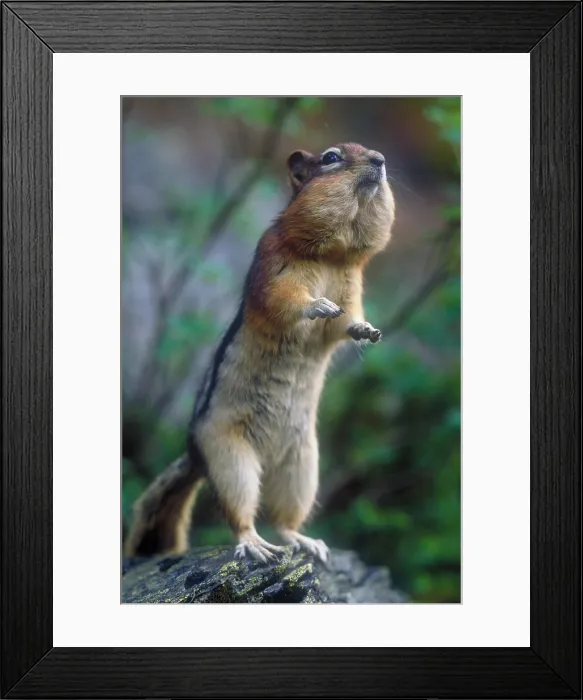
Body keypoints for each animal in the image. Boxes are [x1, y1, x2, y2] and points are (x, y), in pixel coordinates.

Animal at [125, 142, 395, 564]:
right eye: (332, 158)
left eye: (371, 151)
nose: (381, 160)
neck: (333, 254)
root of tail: (195, 455)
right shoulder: (274, 268)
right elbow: (286, 301)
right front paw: (317, 305)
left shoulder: (353, 288)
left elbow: (344, 322)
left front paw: (367, 331)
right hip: (231, 459)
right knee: (241, 513)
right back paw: (254, 545)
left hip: (301, 467)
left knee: (284, 519)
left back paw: (306, 541)